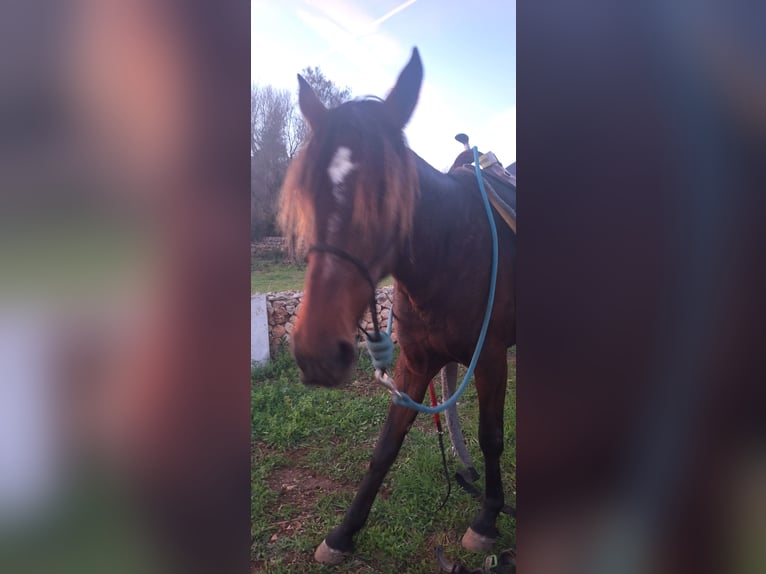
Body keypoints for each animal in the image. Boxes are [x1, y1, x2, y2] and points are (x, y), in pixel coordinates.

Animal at [278, 47, 516, 565]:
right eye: (307, 192)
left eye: (385, 197)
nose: (316, 352)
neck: (454, 252)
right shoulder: (416, 362)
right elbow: (387, 445)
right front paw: (343, 533)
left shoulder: (490, 359)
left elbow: (491, 438)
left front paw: (487, 518)